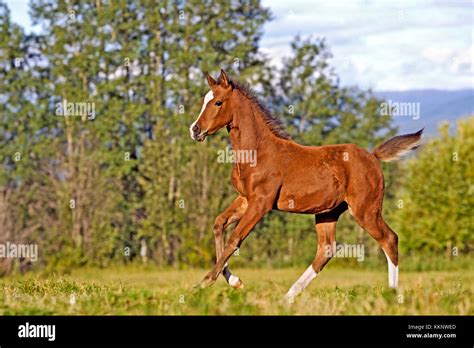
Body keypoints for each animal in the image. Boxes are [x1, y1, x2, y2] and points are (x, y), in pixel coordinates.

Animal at [191, 69, 424, 298]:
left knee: (389, 239)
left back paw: (393, 294)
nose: (195, 130)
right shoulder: (245, 199)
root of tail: (373, 157)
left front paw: (205, 282)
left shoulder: (261, 203)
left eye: (218, 102)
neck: (257, 152)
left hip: (366, 210)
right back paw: (288, 296)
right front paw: (234, 281)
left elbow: (235, 239)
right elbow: (219, 224)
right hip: (328, 212)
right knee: (326, 250)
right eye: (204, 100)